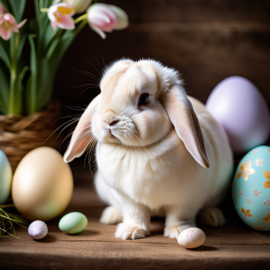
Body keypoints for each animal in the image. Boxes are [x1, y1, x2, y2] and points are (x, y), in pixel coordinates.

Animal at [64, 59, 233, 240]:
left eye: (143, 98)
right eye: (102, 93)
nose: (108, 120)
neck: (137, 150)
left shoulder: (188, 198)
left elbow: (180, 214)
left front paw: (179, 231)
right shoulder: (126, 197)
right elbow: (134, 213)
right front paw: (130, 232)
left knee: (210, 205)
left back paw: (214, 218)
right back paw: (111, 216)